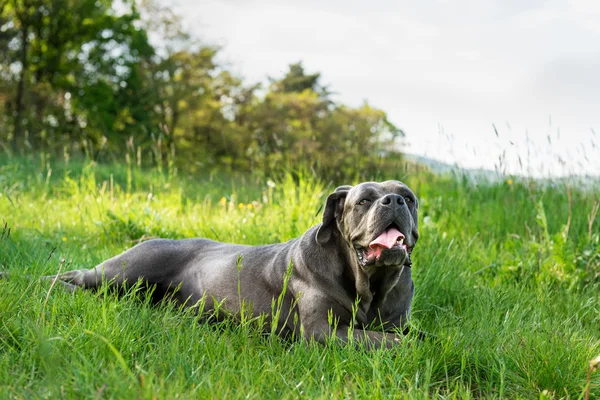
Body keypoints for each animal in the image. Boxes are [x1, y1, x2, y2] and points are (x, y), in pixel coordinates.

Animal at [42, 181, 420, 346]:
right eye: (364, 200)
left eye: (410, 197)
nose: (394, 199)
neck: (370, 284)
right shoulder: (321, 330)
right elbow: (395, 342)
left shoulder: (399, 322)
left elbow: (409, 335)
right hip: (128, 269)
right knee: (74, 276)